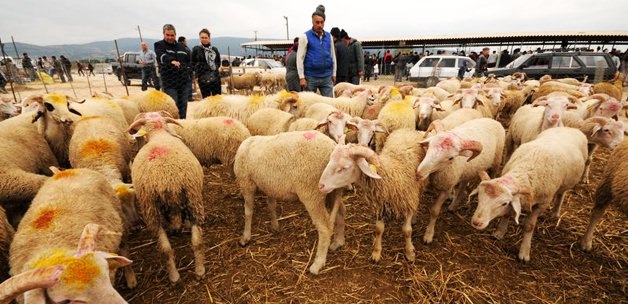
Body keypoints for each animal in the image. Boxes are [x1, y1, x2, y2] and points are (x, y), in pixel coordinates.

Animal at [126, 111, 205, 282]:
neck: (159, 133)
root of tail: (168, 178)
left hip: (150, 206)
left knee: (165, 247)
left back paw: (174, 277)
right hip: (193, 196)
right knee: (196, 241)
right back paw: (199, 271)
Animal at [234, 131, 344, 276]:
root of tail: (332, 146)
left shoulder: (247, 183)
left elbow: (248, 211)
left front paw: (245, 237)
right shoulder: (270, 186)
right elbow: (271, 205)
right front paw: (275, 225)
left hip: (312, 192)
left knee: (324, 227)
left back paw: (318, 263)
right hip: (332, 189)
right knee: (341, 212)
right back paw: (339, 241)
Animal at [318, 129, 426, 262]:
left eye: (343, 168)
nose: (320, 186)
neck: (391, 176)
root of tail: (407, 130)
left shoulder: (408, 201)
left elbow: (407, 231)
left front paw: (410, 252)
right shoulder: (380, 204)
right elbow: (379, 229)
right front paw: (376, 252)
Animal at [472, 127, 588, 262]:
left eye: (504, 203)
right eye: (479, 196)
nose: (476, 222)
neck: (526, 170)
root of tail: (570, 128)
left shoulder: (541, 204)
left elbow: (529, 226)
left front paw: (524, 253)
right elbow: (507, 214)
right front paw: (499, 233)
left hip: (567, 182)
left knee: (561, 193)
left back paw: (555, 212)